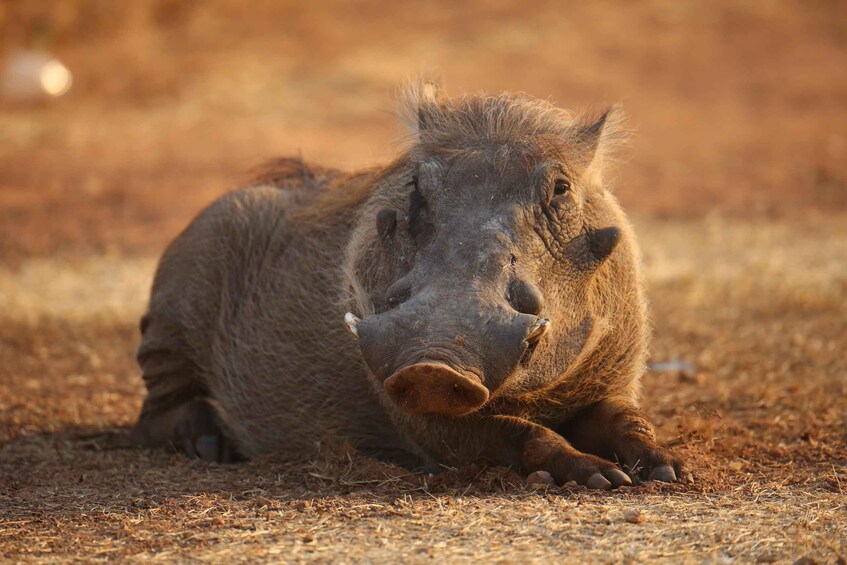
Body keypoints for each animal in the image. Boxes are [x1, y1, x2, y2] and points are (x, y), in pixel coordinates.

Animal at [132, 82, 684, 489]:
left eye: (561, 188)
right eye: (416, 186)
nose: (433, 367)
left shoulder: (614, 382)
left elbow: (628, 422)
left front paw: (665, 468)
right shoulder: (423, 421)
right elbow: (524, 435)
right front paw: (598, 476)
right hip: (169, 325)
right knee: (154, 416)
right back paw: (209, 444)